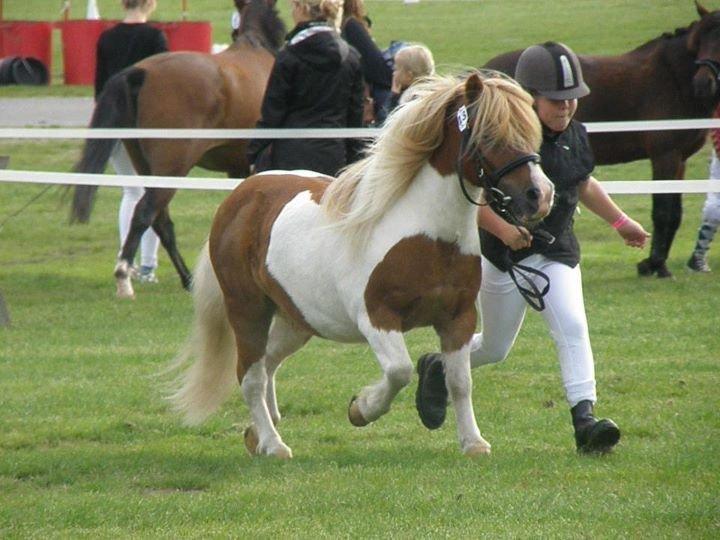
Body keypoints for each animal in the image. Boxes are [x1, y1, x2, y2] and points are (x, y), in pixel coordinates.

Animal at [71, 0, 286, 296]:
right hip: (171, 168)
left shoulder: (238, 167)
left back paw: (186, 279)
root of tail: (139, 72)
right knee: (145, 213)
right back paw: (124, 275)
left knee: (161, 222)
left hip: (147, 167)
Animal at [166, 71, 556, 458]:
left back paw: (258, 433)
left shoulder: (458, 318)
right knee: (250, 375)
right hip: (247, 310)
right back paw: (273, 444)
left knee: (268, 362)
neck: (427, 236)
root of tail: (240, 196)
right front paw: (361, 409)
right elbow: (399, 371)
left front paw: (473, 443)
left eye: (530, 130)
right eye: (488, 134)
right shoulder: (377, 318)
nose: (540, 196)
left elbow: (459, 381)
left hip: (298, 319)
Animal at [480, 0, 720, 278]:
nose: (704, 84)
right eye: (701, 40)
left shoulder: (680, 159)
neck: (672, 78)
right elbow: (663, 213)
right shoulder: (665, 156)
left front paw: (656, 262)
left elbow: (675, 214)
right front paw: (655, 265)